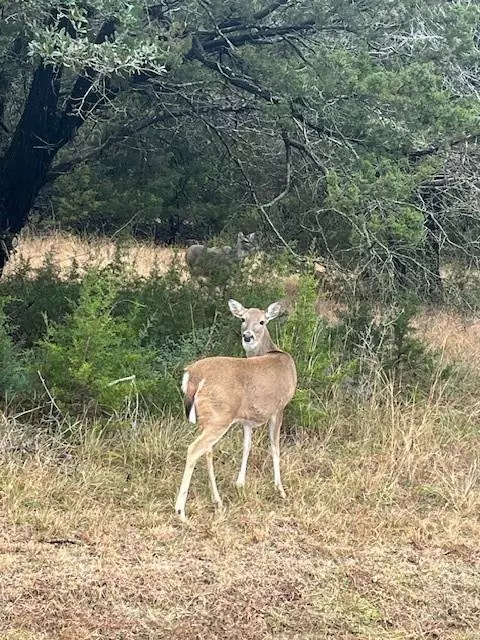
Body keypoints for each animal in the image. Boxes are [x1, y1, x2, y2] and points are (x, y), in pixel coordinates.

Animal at [176, 298, 296, 524]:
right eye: (242, 319)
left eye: (262, 321)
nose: (247, 336)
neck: (275, 353)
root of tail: (193, 375)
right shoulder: (278, 407)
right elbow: (275, 447)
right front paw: (280, 489)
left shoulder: (246, 418)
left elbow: (246, 446)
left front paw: (240, 483)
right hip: (219, 417)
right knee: (194, 449)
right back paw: (181, 511)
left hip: (209, 418)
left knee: (207, 450)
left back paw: (217, 500)